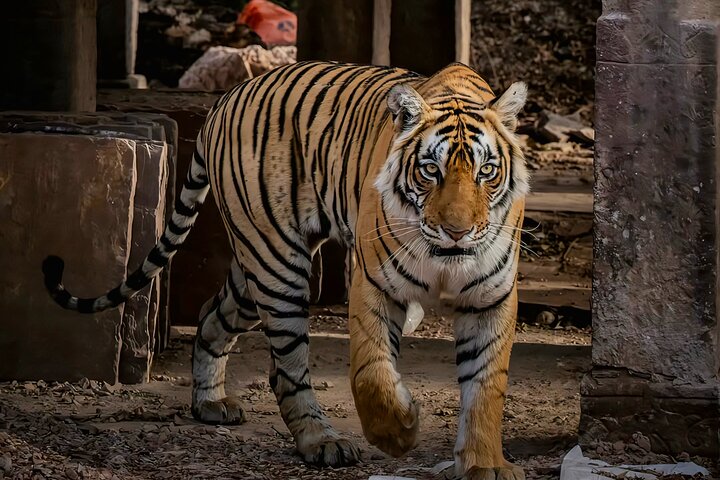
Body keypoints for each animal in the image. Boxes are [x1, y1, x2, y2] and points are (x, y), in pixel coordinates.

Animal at [42, 60, 528, 479]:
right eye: (430, 170)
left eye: (487, 171)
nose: (457, 232)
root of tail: (226, 97)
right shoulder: (374, 282)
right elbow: (372, 372)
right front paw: (397, 432)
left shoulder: (491, 297)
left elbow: (486, 386)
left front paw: (485, 464)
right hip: (276, 262)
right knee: (286, 369)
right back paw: (321, 441)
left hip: (253, 270)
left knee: (211, 316)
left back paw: (211, 403)